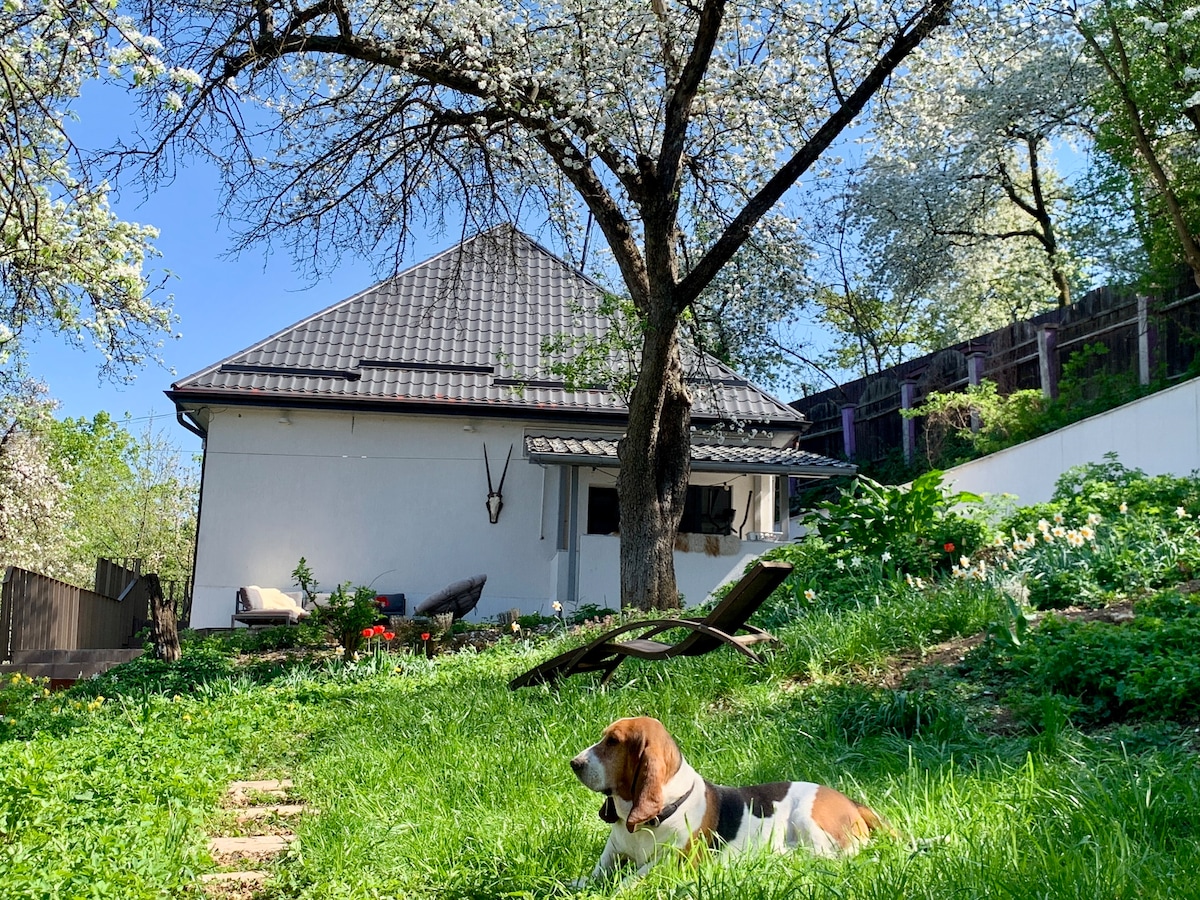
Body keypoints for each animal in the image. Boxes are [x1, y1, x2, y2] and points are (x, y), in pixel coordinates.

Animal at [568, 720, 892, 883]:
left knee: (833, 856)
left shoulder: (668, 864)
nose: (574, 763)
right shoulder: (609, 858)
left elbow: (627, 882)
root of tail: (854, 803)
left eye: (612, 742)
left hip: (807, 819)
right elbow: (590, 879)